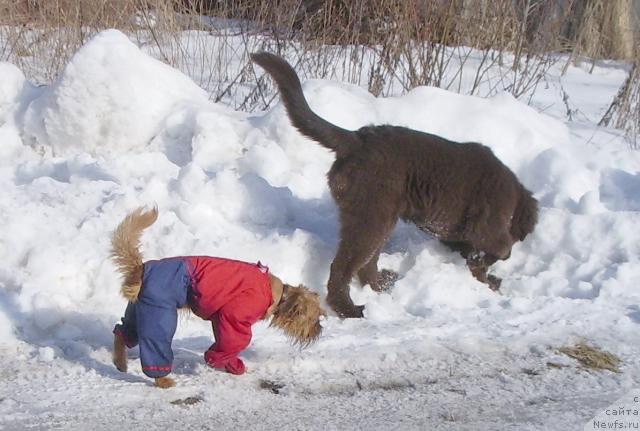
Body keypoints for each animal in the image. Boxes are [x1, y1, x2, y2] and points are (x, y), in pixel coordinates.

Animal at [111, 206, 324, 388]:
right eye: (313, 318)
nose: (319, 330)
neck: (278, 295)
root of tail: (142, 268)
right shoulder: (234, 318)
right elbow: (233, 342)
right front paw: (222, 361)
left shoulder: (219, 319)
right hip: (158, 314)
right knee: (154, 346)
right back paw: (162, 380)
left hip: (139, 311)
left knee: (122, 331)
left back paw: (120, 362)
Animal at [250, 52, 536, 318]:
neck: (516, 197)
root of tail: (355, 139)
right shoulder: (487, 227)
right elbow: (503, 248)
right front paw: (487, 275)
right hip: (371, 216)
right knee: (343, 268)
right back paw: (350, 309)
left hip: (380, 218)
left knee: (366, 266)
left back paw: (381, 287)